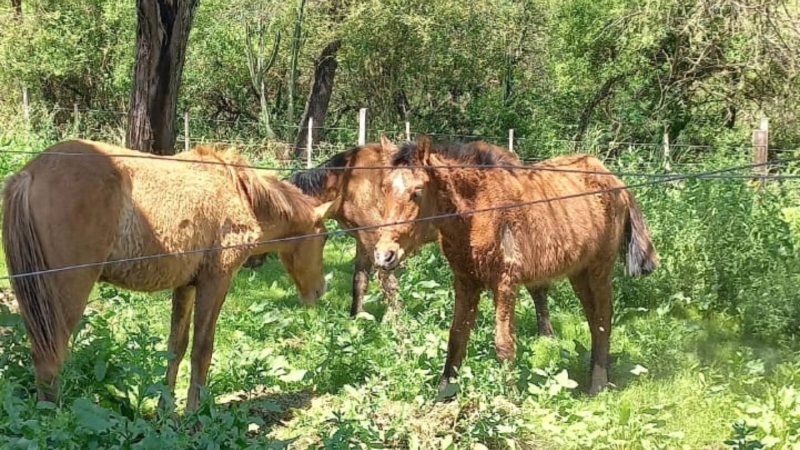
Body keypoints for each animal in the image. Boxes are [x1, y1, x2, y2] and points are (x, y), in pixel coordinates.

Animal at [2, 140, 334, 411]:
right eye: (324, 237)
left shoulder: (186, 286)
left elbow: (176, 347)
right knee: (49, 360)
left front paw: (166, 411)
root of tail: (30, 173)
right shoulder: (216, 282)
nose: (319, 291)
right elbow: (202, 349)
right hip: (66, 294)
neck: (238, 190)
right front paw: (194, 416)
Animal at [245, 138, 556, 336]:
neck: (346, 181)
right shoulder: (363, 240)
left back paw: (545, 334)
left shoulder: (377, 240)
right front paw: (355, 319)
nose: (249, 262)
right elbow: (360, 281)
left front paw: (394, 324)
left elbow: (388, 284)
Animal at [373, 135, 659, 396]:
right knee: (592, 317)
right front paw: (442, 397)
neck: (476, 211)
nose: (384, 255)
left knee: (602, 318)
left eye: (417, 192)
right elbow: (456, 338)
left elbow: (504, 345)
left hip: (599, 269)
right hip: (579, 273)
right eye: (384, 188)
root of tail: (616, 181)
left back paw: (598, 384)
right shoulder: (465, 282)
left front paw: (509, 400)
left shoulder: (505, 283)